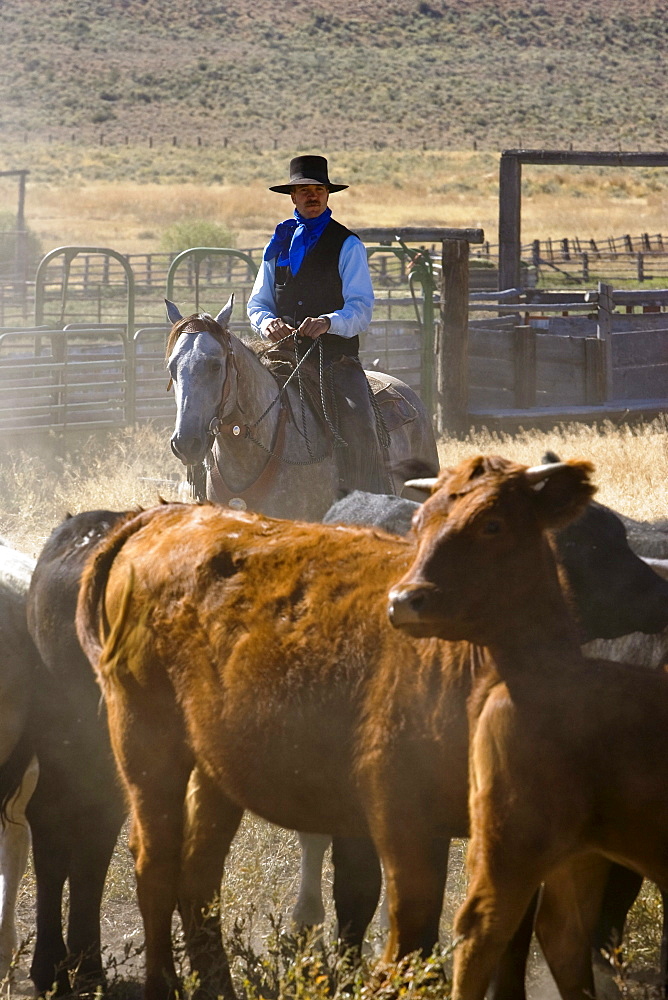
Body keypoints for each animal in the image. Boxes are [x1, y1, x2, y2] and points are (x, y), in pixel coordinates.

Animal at [388, 458, 668, 1000]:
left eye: (493, 524)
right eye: (418, 524)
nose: (403, 599)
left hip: (569, 853)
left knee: (561, 934)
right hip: (516, 843)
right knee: (485, 930)